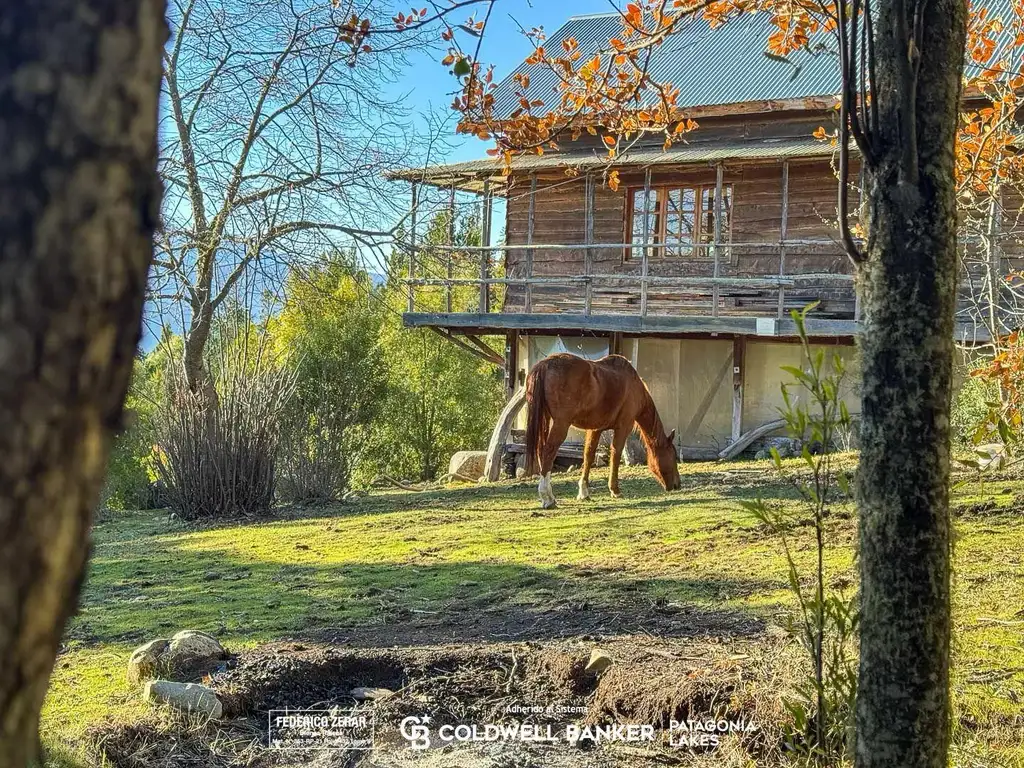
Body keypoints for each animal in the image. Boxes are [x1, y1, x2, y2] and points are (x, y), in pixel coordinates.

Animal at [528, 356, 679, 512]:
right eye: (674, 456)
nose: (677, 485)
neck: (634, 386)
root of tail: (544, 365)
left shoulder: (595, 429)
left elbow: (589, 455)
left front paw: (584, 492)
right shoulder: (623, 427)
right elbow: (616, 454)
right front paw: (615, 490)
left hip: (545, 419)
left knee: (541, 451)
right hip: (561, 424)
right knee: (549, 452)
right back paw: (548, 498)